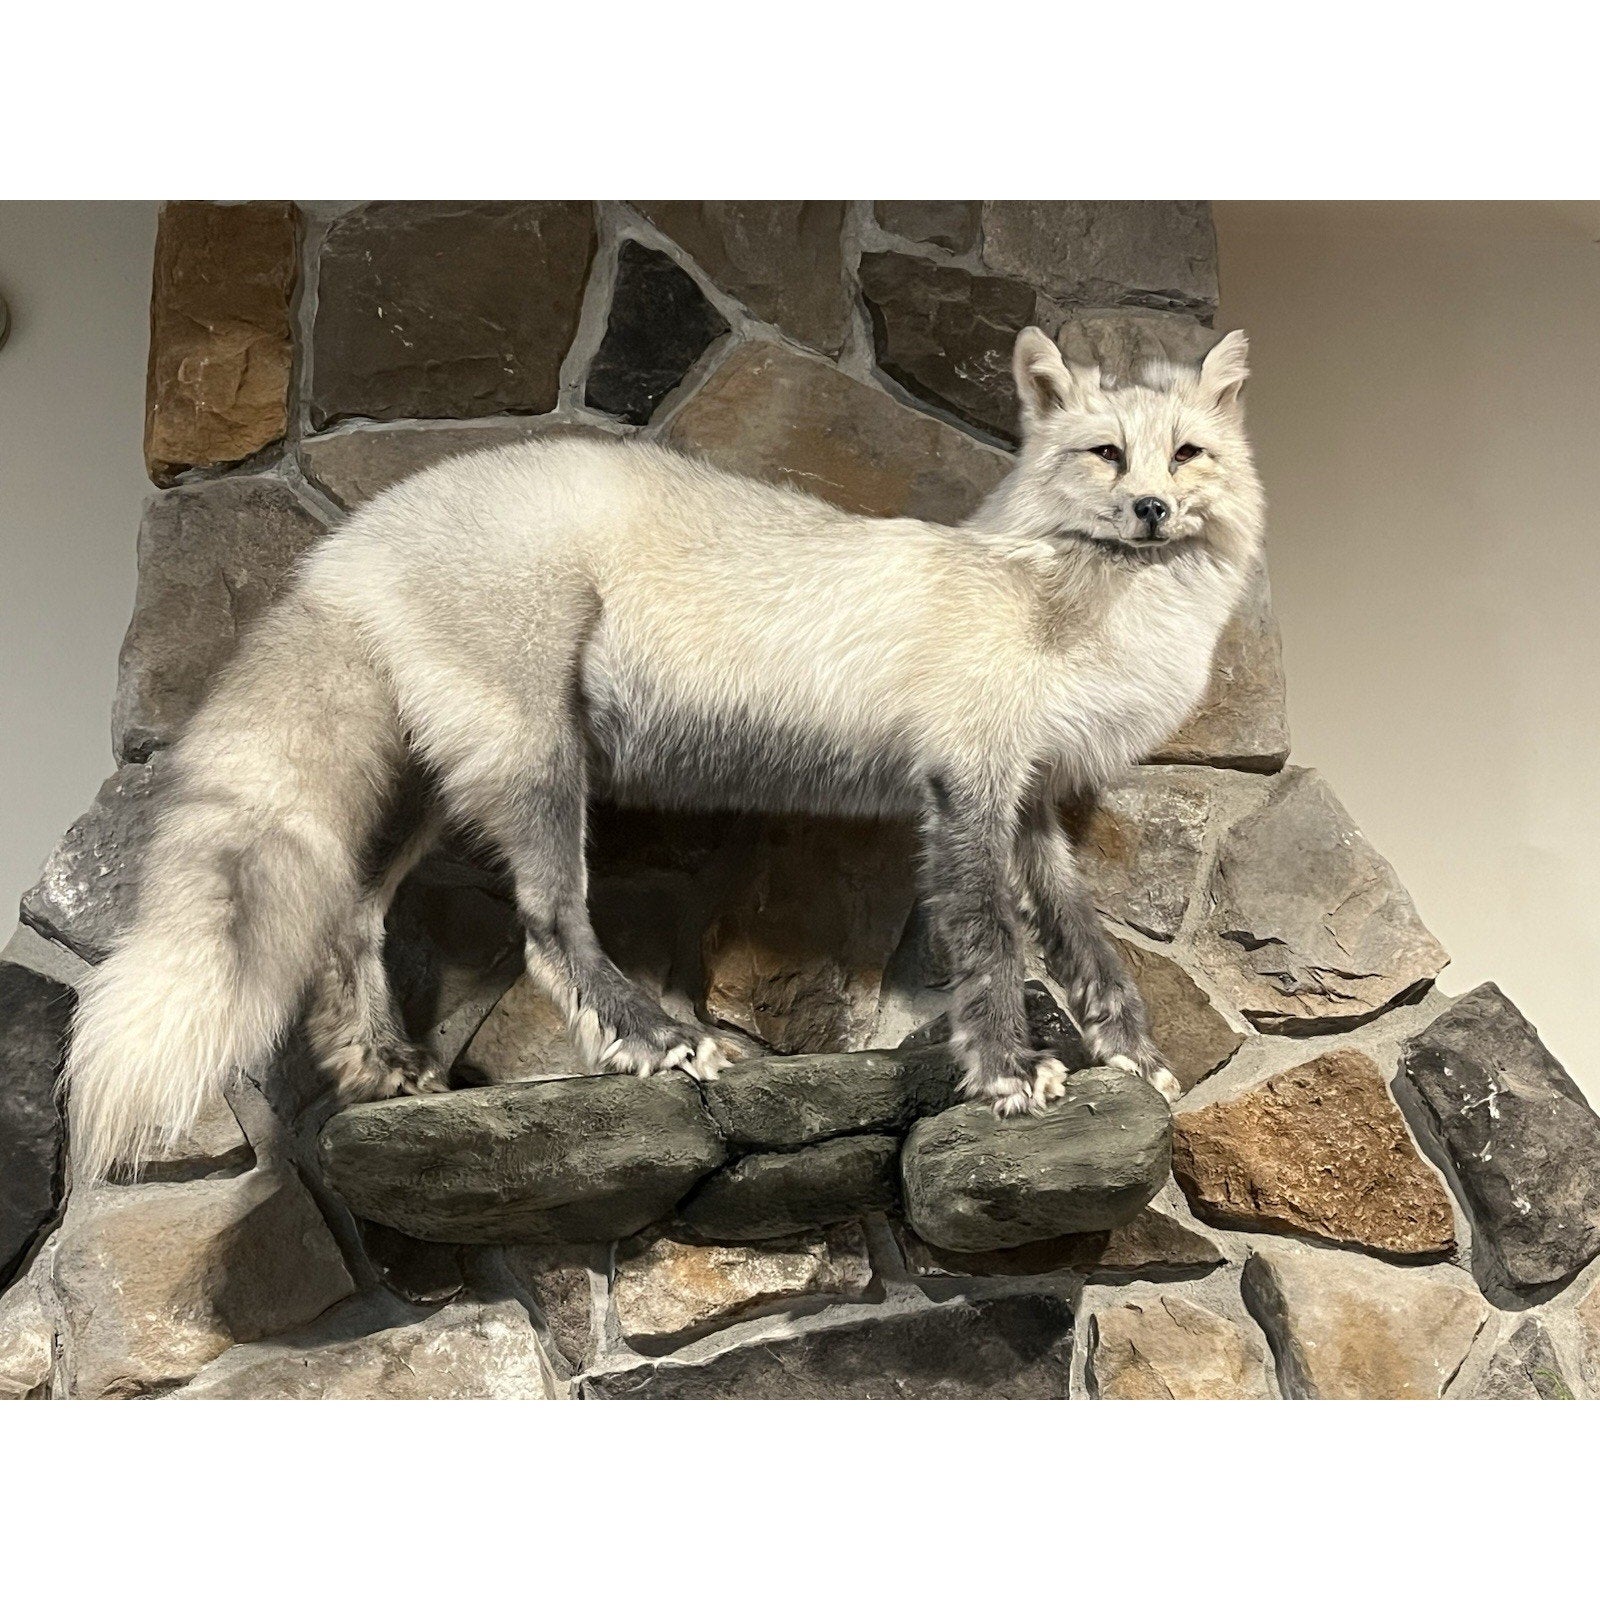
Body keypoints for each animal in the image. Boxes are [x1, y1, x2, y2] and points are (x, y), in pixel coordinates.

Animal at [64, 325, 1264, 1185]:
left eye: (1187, 455)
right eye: (1104, 455)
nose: (1152, 508)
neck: (1069, 612)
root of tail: (351, 538)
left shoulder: (1037, 805)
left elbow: (1087, 951)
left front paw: (1137, 1060)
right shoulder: (966, 787)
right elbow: (992, 949)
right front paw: (1010, 1076)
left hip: (436, 790)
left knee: (354, 917)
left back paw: (385, 1067)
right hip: (538, 766)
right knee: (548, 929)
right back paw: (659, 1042)